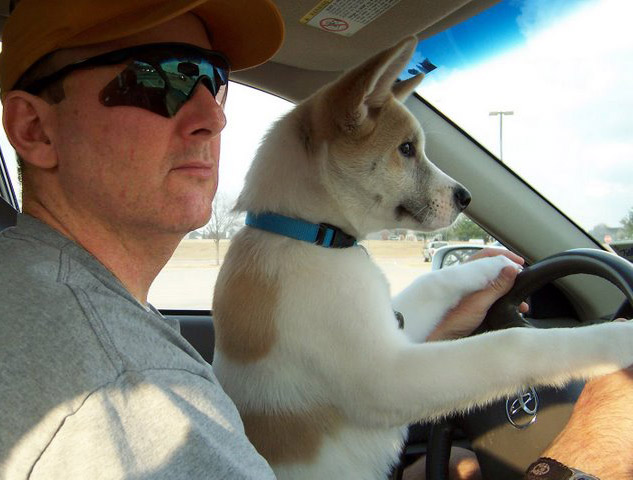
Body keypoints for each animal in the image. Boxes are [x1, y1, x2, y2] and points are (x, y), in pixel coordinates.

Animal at [211, 38, 632, 480]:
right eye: (407, 149)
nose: (467, 197)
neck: (307, 234)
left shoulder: (393, 330)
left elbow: (433, 281)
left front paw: (488, 264)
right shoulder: (389, 378)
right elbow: (511, 345)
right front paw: (613, 340)